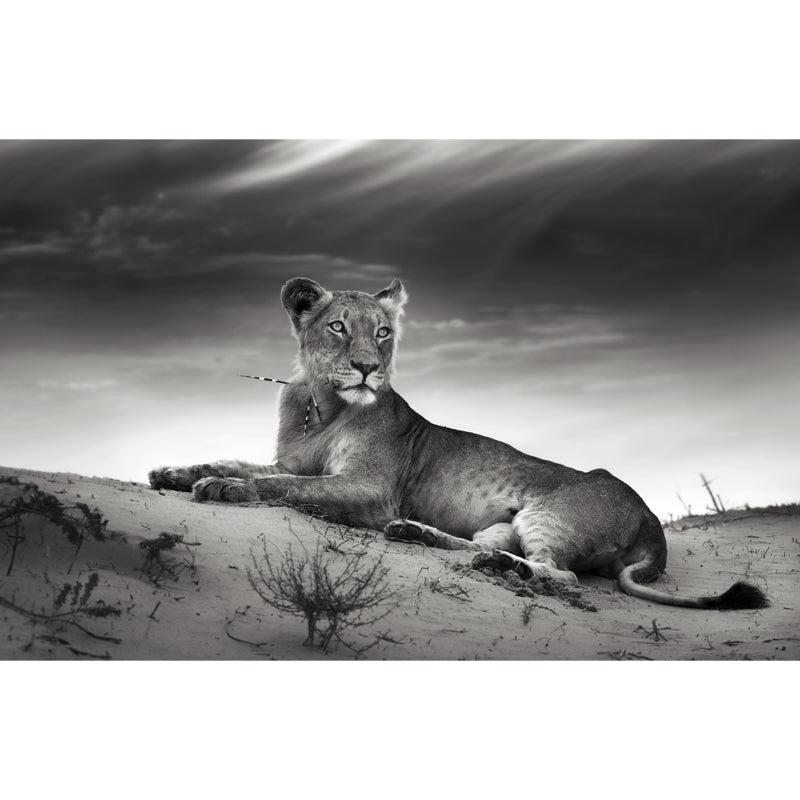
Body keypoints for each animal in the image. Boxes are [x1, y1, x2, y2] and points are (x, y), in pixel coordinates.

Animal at [149, 277, 768, 610]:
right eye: (337, 327)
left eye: (382, 332)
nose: (368, 368)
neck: (320, 404)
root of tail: (652, 522)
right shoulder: (293, 459)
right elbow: (246, 462)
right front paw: (175, 473)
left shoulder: (371, 490)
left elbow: (285, 486)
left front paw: (226, 489)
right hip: (504, 522)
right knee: (481, 546)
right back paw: (422, 536)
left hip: (549, 514)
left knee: (560, 574)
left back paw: (500, 568)